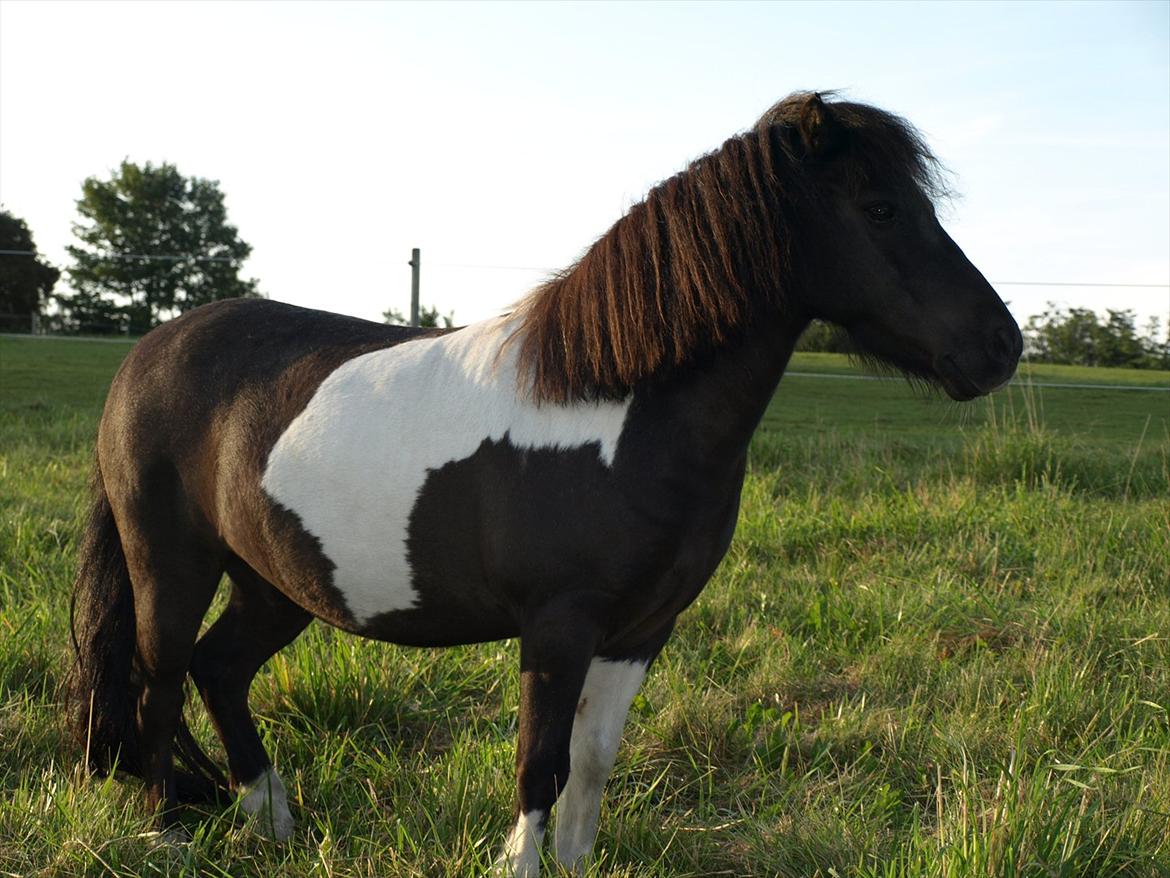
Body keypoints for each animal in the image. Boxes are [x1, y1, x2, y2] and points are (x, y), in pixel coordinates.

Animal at [66, 92, 1021, 876]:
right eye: (880, 208)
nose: (1001, 347)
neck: (618, 410)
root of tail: (148, 352)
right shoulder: (558, 625)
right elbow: (540, 763)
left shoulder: (642, 629)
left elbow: (592, 764)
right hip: (171, 565)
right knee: (158, 678)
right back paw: (165, 833)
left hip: (275, 581)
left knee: (220, 670)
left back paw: (272, 821)